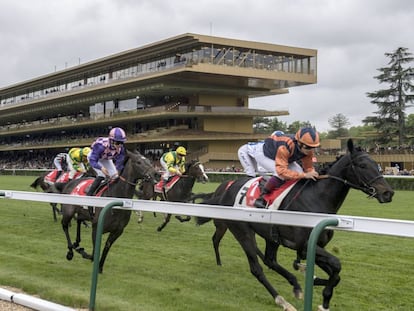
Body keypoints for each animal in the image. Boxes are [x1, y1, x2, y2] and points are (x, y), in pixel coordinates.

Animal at [197, 141, 394, 311]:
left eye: (377, 164)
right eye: (362, 165)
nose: (388, 193)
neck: (317, 198)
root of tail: (225, 190)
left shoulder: (312, 247)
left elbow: (334, 274)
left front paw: (313, 281)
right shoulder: (305, 245)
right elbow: (336, 265)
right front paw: (324, 299)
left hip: (271, 236)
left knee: (270, 260)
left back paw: (296, 285)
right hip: (243, 232)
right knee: (257, 269)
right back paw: (282, 301)